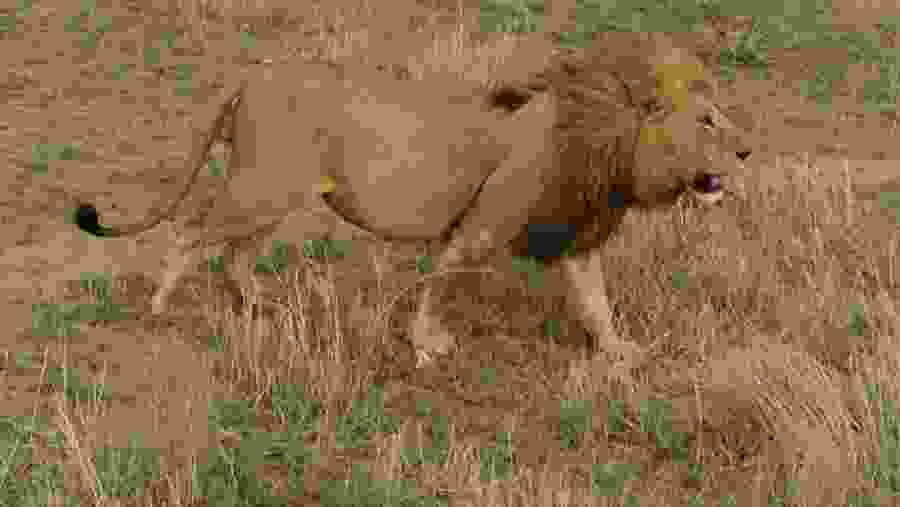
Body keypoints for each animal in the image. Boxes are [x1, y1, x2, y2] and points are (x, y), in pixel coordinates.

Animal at [74, 32, 752, 375]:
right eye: (709, 121)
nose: (748, 151)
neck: (610, 142)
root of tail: (250, 76)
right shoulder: (482, 227)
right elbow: (441, 279)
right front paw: (425, 345)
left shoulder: (576, 239)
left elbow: (596, 304)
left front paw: (620, 353)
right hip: (260, 188)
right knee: (189, 233)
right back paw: (160, 310)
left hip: (271, 196)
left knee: (234, 256)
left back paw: (263, 312)